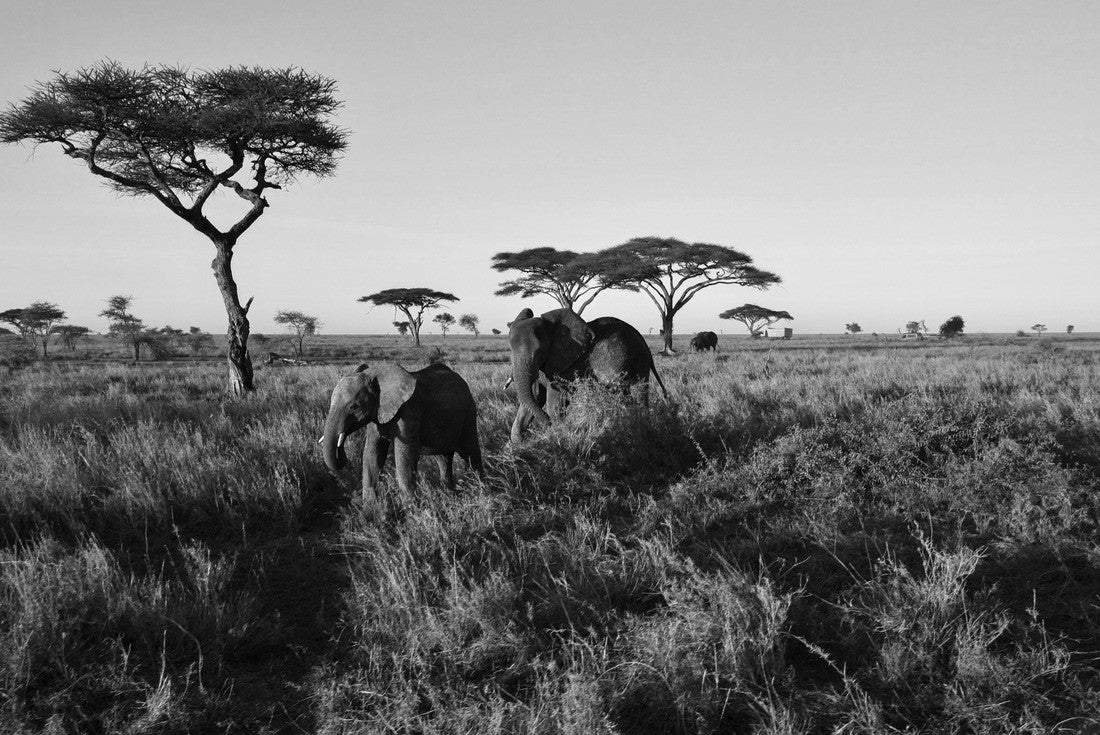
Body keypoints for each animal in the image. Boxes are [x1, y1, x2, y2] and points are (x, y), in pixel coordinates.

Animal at [320, 362, 484, 499]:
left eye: (355, 407)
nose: (343, 456)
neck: (373, 374)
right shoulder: (377, 414)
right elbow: (372, 454)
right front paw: (371, 511)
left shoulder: (409, 412)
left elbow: (405, 456)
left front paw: (411, 508)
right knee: (443, 458)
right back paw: (449, 493)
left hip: (469, 412)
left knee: (471, 453)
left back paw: (479, 490)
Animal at [507, 307, 669, 443]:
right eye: (510, 350)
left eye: (540, 352)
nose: (547, 424)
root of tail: (645, 344)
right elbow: (534, 399)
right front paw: (517, 445)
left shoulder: (565, 364)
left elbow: (555, 404)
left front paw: (558, 437)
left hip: (632, 361)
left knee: (629, 393)